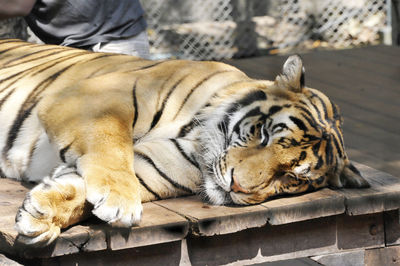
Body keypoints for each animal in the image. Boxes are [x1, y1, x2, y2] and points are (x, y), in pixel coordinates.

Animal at [0, 39, 368, 245]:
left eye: (291, 177)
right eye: (264, 135)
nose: (238, 187)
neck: (196, 136)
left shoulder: (150, 167)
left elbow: (84, 188)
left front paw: (42, 214)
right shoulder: (92, 99)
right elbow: (110, 148)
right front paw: (119, 201)